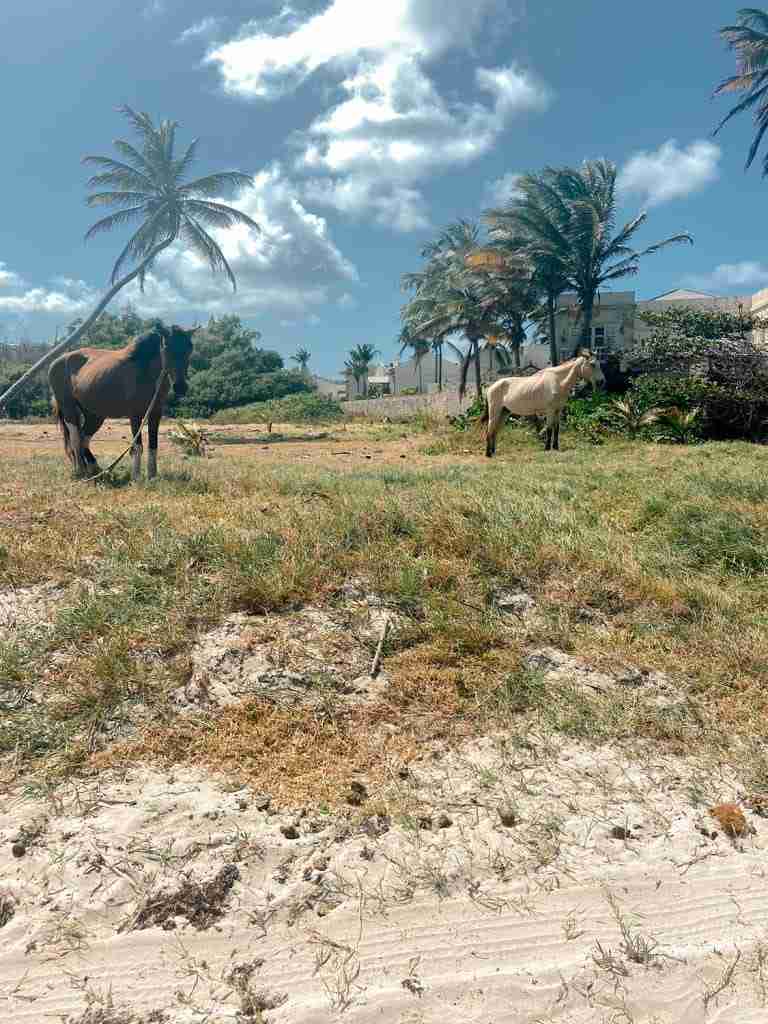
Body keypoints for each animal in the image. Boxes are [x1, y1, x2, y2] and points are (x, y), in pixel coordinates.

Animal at [48, 322, 197, 480]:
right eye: (167, 347)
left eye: (189, 348)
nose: (180, 387)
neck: (146, 371)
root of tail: (56, 362)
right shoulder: (135, 414)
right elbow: (137, 446)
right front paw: (136, 477)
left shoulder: (156, 412)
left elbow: (153, 444)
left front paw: (152, 476)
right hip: (68, 408)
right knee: (76, 439)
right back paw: (80, 471)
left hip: (95, 414)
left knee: (84, 439)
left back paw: (95, 469)